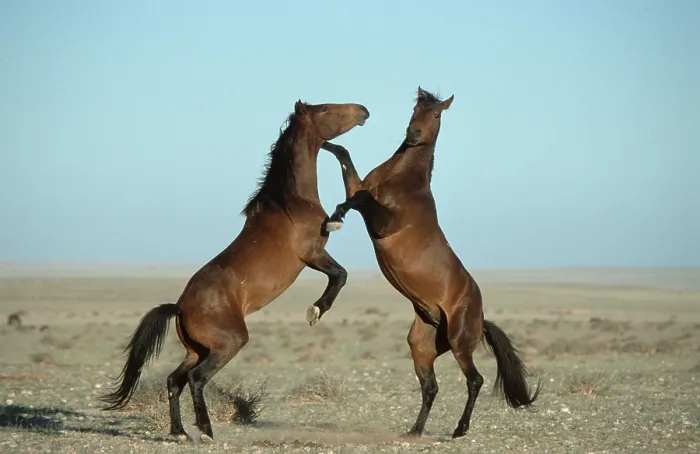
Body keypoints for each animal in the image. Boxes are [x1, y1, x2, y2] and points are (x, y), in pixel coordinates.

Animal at [99, 99, 370, 442]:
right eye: (323, 109)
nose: (363, 110)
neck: (292, 202)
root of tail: (180, 306)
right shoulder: (312, 254)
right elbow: (341, 275)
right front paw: (315, 311)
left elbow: (340, 274)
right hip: (228, 344)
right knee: (196, 379)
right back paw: (206, 431)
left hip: (197, 350)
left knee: (174, 380)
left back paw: (180, 432)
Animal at [315, 87, 542, 439]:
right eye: (415, 109)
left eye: (436, 114)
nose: (413, 135)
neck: (402, 180)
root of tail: (481, 317)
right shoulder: (359, 186)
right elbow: (345, 156)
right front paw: (322, 140)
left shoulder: (383, 222)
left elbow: (359, 199)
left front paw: (335, 219)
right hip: (422, 346)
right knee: (431, 387)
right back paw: (415, 430)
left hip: (460, 342)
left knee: (475, 380)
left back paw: (460, 430)